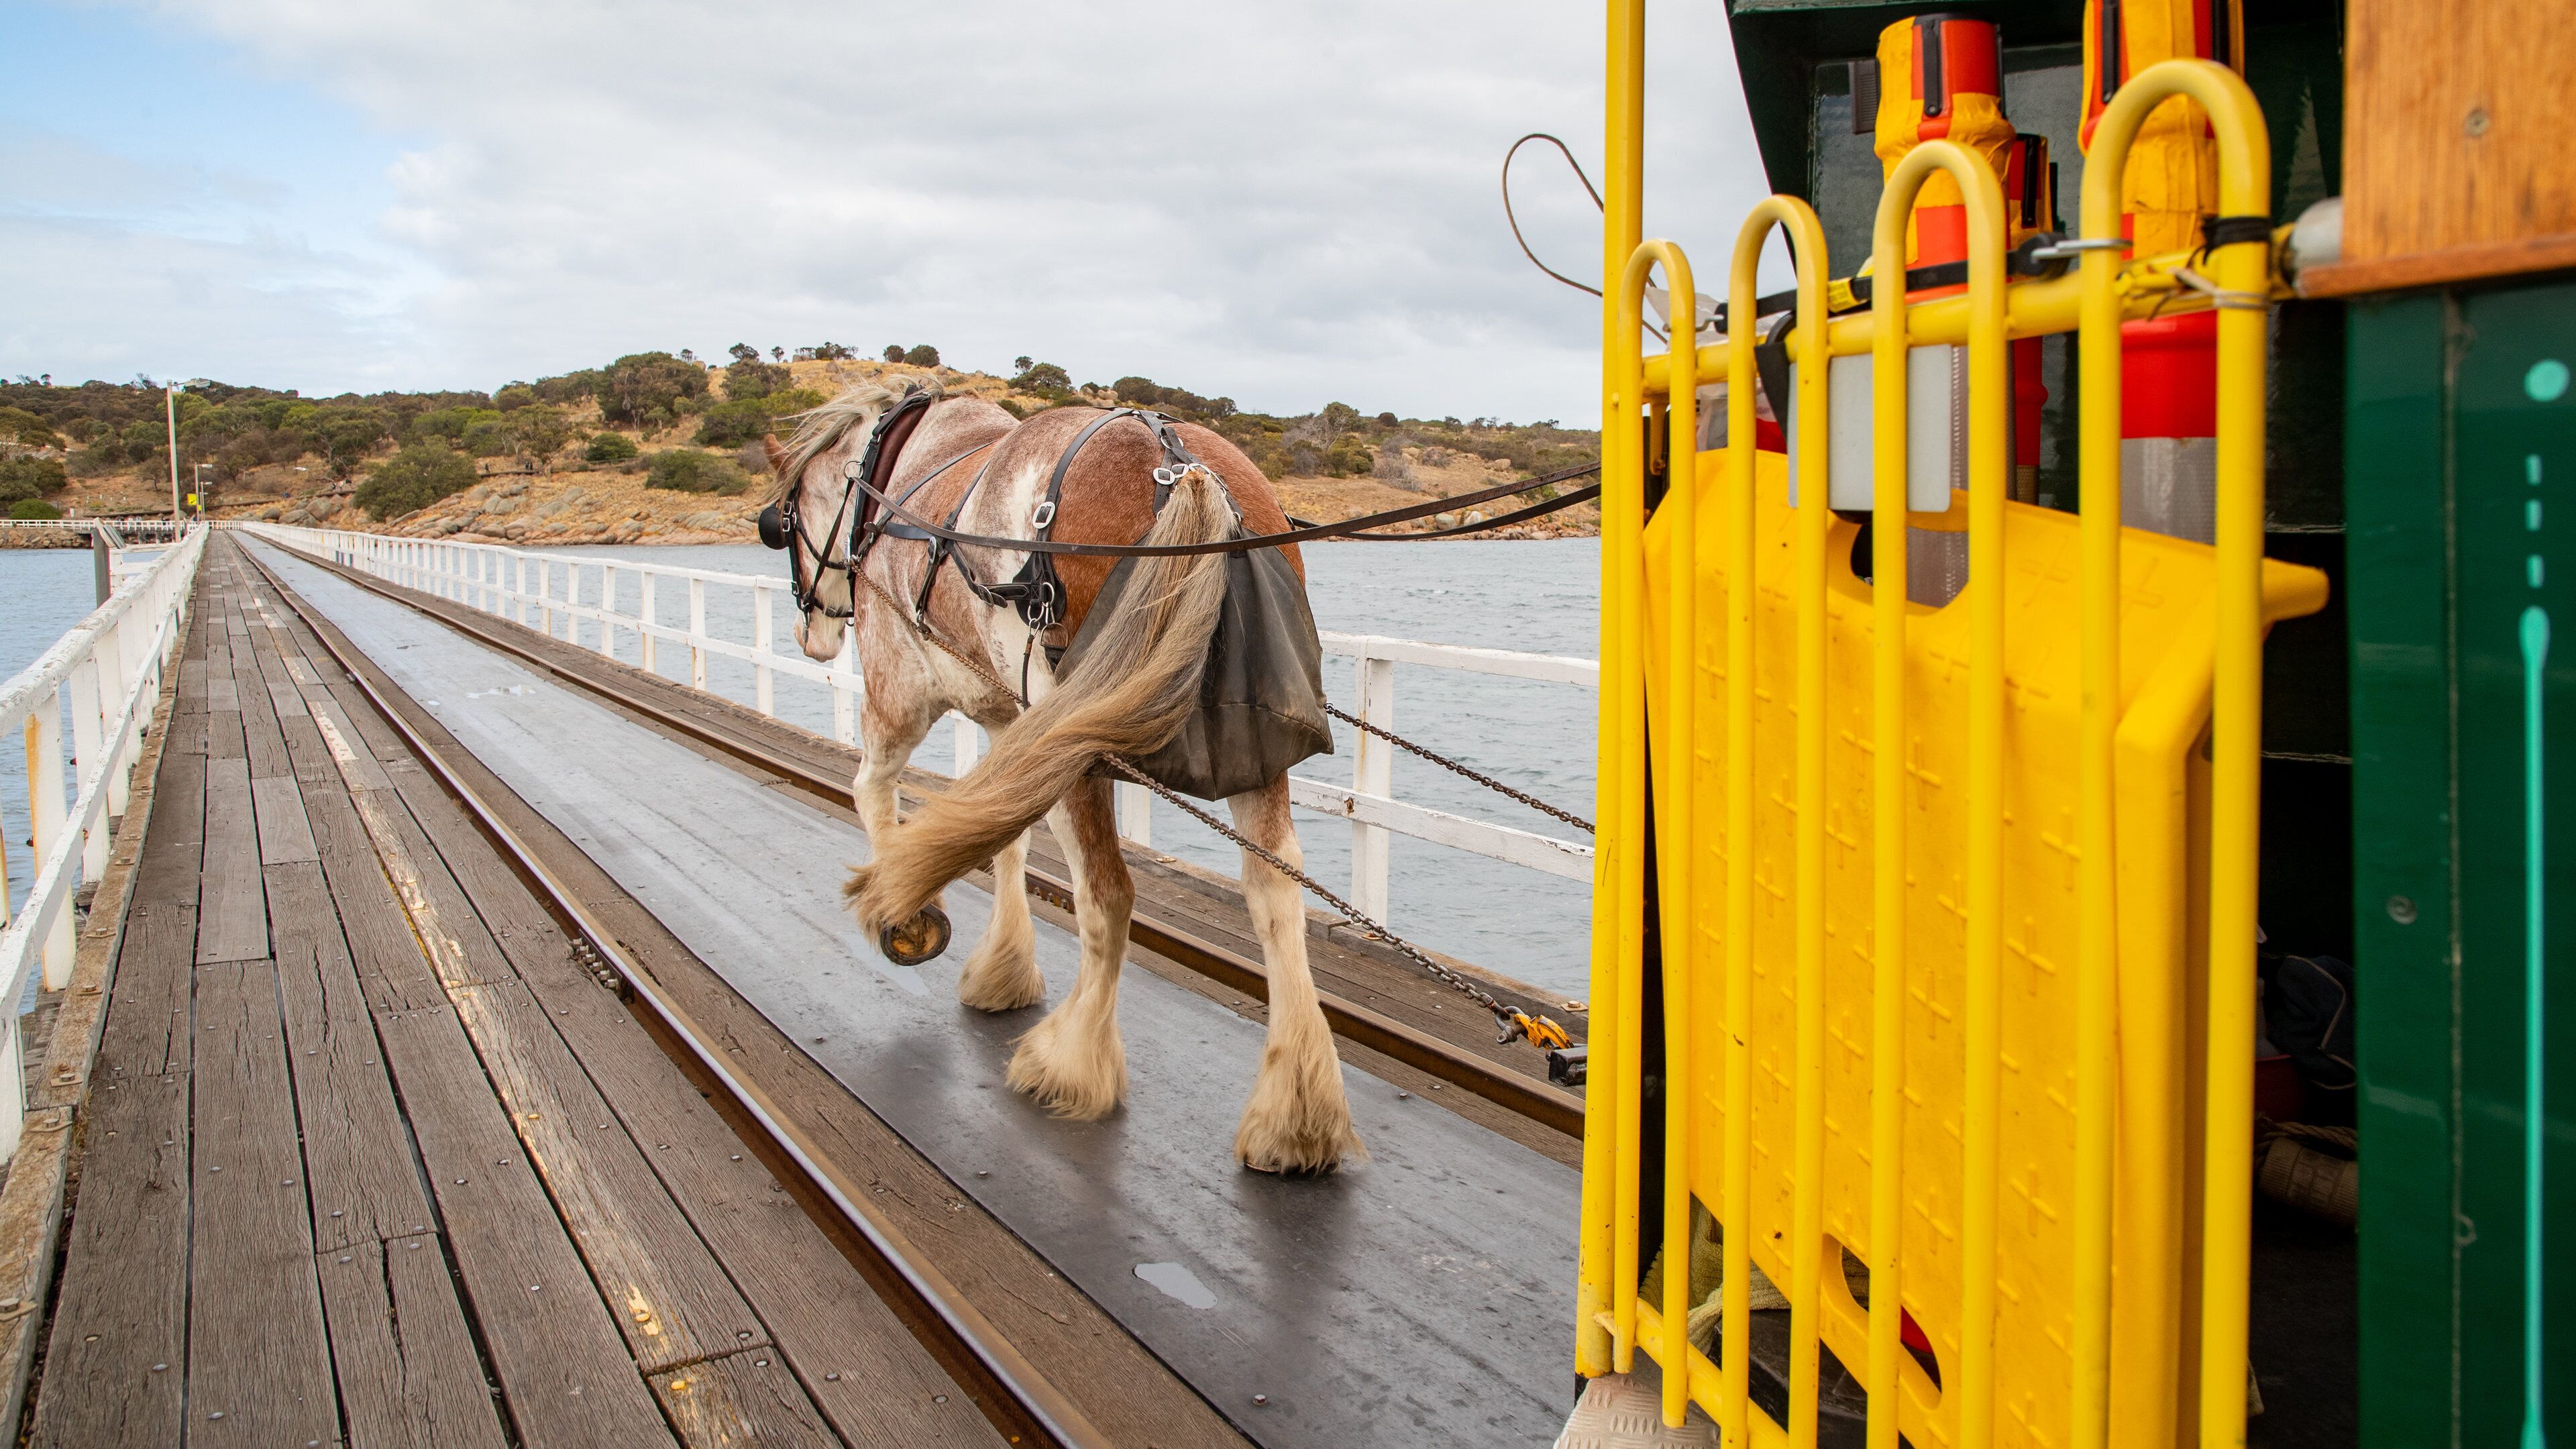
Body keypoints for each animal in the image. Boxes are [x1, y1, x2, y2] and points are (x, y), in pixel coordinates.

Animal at [761, 378, 1362, 1174]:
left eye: (783, 520)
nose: (811, 632)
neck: (897, 479)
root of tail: (1184, 471)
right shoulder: (1007, 724)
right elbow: (1000, 839)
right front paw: (1002, 969)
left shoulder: (901, 695)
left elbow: (873, 793)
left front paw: (904, 912)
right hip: (1252, 741)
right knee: (1274, 892)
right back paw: (1296, 1116)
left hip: (1075, 737)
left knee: (1107, 895)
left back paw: (1070, 1062)